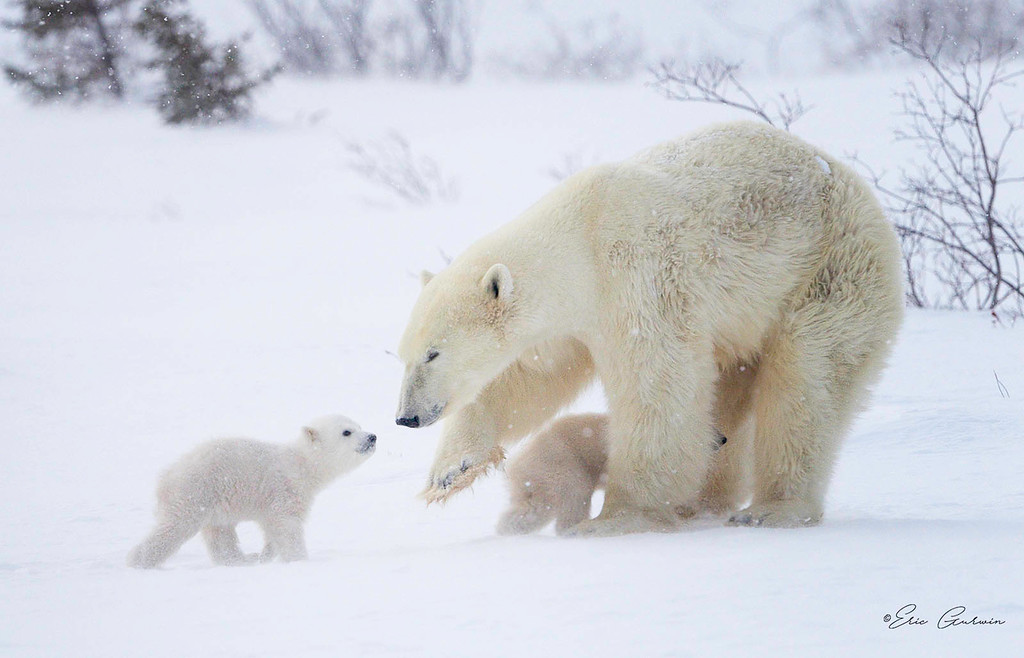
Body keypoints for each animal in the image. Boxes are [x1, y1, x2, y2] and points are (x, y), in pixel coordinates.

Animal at [127, 414, 376, 568]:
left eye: (359, 425)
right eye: (346, 432)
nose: (372, 436)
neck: (300, 465)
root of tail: (165, 477)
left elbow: (271, 530)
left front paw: (263, 555)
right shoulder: (283, 490)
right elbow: (287, 527)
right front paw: (299, 560)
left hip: (214, 501)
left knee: (220, 535)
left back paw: (242, 560)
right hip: (196, 491)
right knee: (175, 528)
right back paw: (139, 561)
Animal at [395, 121, 903, 535]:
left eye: (434, 353)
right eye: (404, 355)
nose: (406, 417)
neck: (580, 237)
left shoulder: (637, 275)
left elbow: (656, 382)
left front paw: (619, 517)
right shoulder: (570, 319)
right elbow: (529, 380)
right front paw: (450, 471)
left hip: (831, 270)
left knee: (808, 377)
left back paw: (771, 509)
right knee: (732, 383)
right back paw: (703, 500)